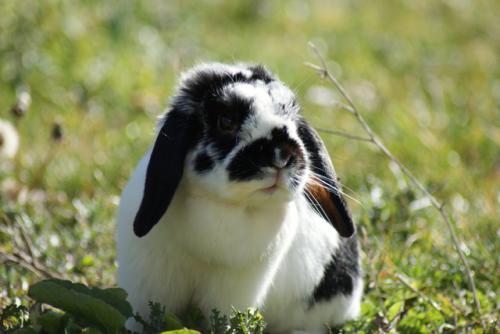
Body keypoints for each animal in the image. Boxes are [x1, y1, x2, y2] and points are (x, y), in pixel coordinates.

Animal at [115, 63, 362, 334]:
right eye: (226, 121)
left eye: (292, 120)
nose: (282, 154)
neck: (223, 205)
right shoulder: (147, 281)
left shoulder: (235, 290)